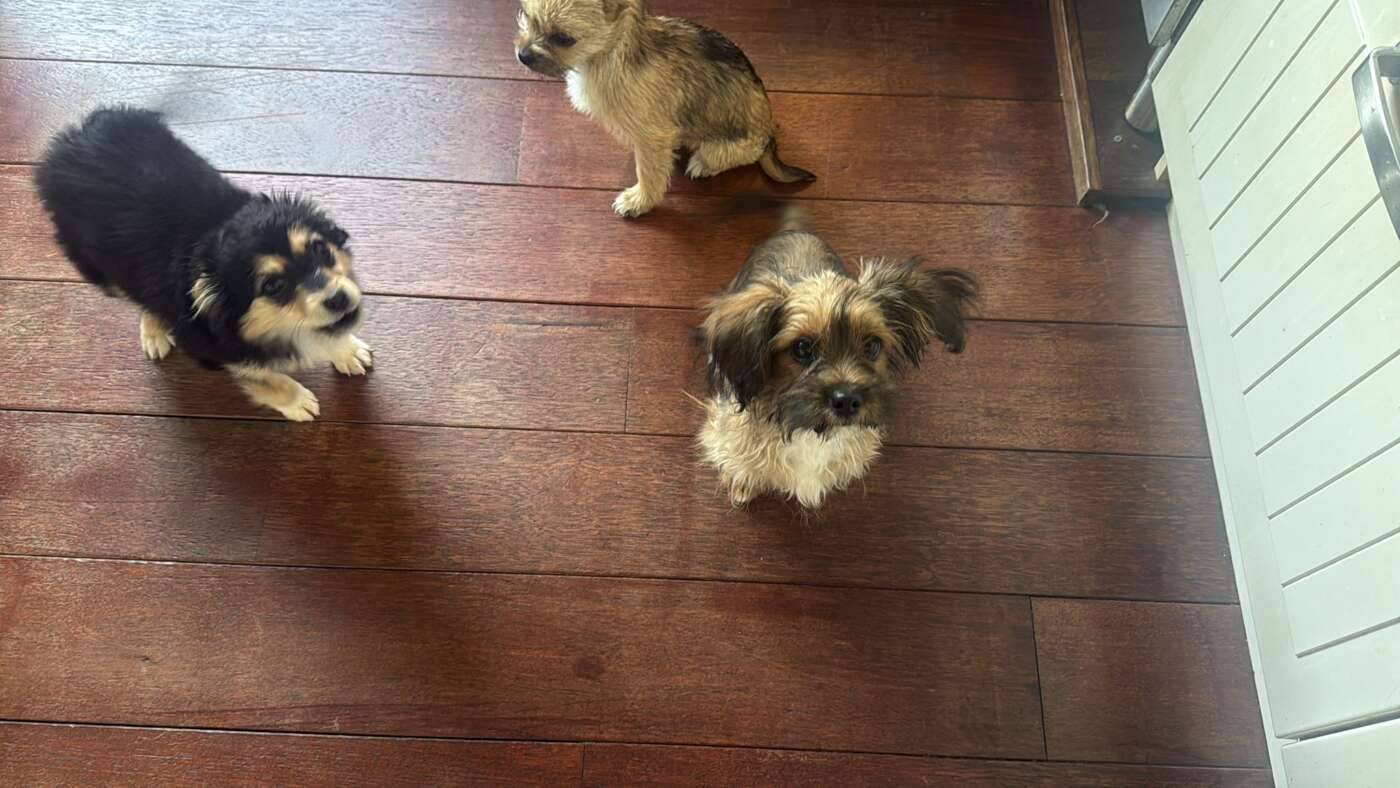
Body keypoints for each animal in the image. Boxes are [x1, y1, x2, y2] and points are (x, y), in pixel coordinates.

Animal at [34, 107, 371, 422]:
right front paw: (297, 401)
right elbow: (264, 377)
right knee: (138, 296)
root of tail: (73, 137)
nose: (338, 298)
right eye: (272, 286)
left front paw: (347, 351)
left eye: (319, 248)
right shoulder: (214, 352)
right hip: (100, 266)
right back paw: (154, 331)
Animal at [514, 0, 815, 218]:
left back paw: (701, 164)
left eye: (563, 38)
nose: (523, 55)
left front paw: (638, 201)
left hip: (732, 147)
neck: (612, 53)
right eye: (526, 15)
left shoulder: (651, 137)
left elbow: (649, 174)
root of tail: (769, 138)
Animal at [698, 206, 978, 509]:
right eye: (802, 348)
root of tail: (795, 231)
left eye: (873, 345)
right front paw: (741, 484)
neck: (810, 430)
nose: (847, 401)